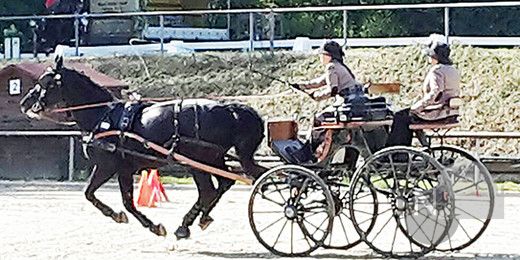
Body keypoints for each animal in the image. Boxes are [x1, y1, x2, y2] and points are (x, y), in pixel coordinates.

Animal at [19, 57, 266, 240]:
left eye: (46, 82)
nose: (24, 103)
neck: (103, 116)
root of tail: (229, 109)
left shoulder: (109, 166)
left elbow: (103, 197)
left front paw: (143, 223)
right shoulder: (124, 169)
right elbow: (116, 199)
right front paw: (140, 221)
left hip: (196, 162)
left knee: (208, 191)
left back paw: (185, 226)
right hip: (213, 159)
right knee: (224, 183)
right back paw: (200, 219)